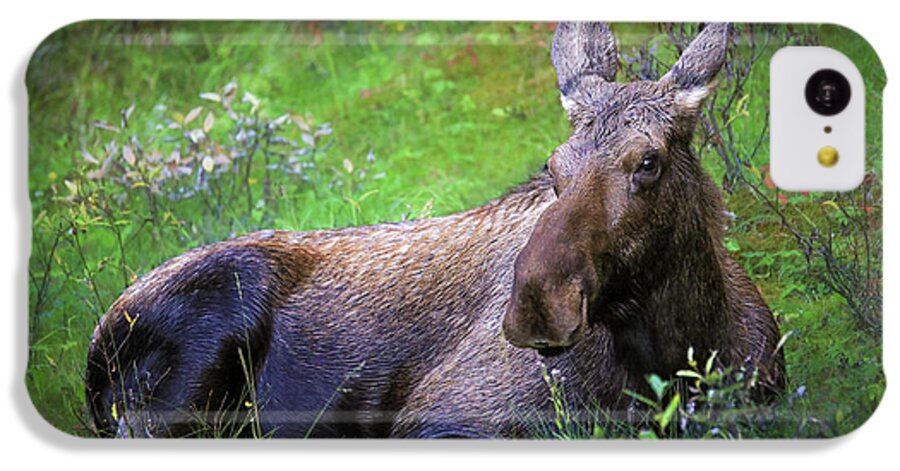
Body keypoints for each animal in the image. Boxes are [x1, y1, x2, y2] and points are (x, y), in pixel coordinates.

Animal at [88, 22, 784, 438]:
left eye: (648, 161)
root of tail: (96, 351)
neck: (679, 351)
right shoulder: (444, 418)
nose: (538, 304)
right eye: (553, 165)